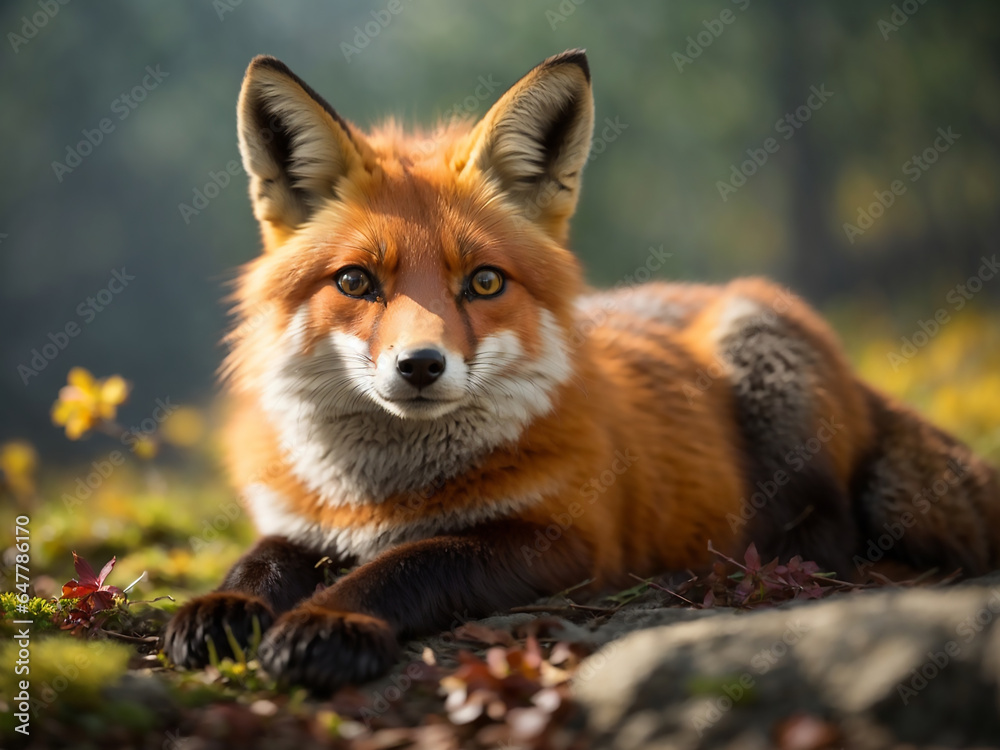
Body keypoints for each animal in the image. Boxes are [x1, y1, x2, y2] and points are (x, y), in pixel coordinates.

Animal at [163, 49, 1000, 692]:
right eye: (356, 282)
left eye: (485, 282)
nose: (421, 365)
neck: (386, 496)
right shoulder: (301, 521)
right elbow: (261, 560)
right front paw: (221, 607)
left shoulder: (563, 540)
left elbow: (407, 566)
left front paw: (333, 618)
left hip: (764, 363)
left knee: (827, 539)